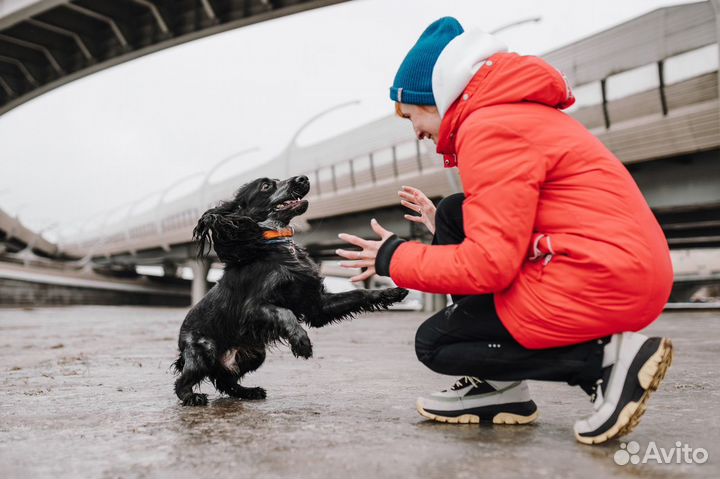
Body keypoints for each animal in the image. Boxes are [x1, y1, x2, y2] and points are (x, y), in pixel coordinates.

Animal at [172, 174, 408, 406]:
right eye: (266, 185)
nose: (304, 178)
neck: (274, 244)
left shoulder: (316, 305)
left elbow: (359, 294)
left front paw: (391, 293)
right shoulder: (252, 308)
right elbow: (284, 312)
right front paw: (301, 342)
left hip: (255, 354)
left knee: (225, 380)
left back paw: (249, 391)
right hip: (205, 351)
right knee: (182, 381)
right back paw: (192, 397)